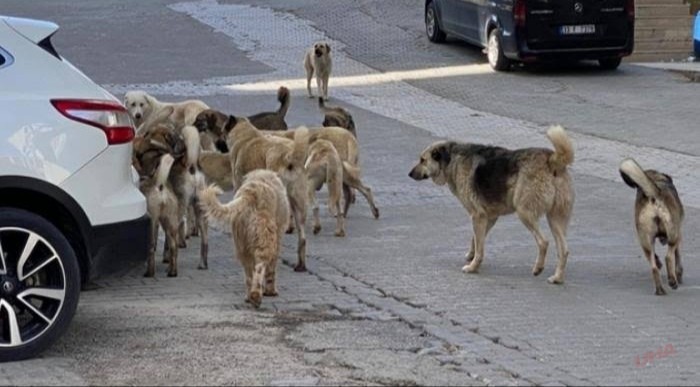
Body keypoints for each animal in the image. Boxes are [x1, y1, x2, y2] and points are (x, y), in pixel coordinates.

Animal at [200, 170, 290, 310]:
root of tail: (251, 193)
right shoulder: (278, 239)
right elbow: (271, 270)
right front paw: (271, 291)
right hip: (265, 240)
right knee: (259, 268)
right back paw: (256, 296)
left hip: (242, 245)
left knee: (249, 274)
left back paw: (249, 297)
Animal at [404, 127, 576, 284]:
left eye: (422, 160)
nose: (409, 174)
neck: (452, 159)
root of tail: (552, 159)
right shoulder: (489, 217)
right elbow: (476, 240)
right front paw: (471, 256)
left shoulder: (477, 215)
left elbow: (479, 246)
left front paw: (473, 267)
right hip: (555, 219)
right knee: (564, 250)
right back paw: (557, 278)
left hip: (524, 213)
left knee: (543, 242)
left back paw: (538, 268)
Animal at [616, 159, 684, 296]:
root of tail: (654, 195)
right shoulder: (677, 234)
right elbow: (677, 255)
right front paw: (679, 274)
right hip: (673, 234)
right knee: (669, 257)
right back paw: (672, 281)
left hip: (645, 240)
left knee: (653, 267)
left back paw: (660, 289)